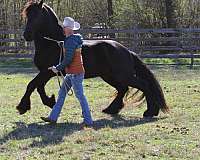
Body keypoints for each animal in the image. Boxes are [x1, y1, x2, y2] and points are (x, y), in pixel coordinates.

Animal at [16, 0, 169, 117]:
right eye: (27, 16)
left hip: (123, 75)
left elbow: (31, 85)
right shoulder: (47, 72)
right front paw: (49, 101)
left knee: (143, 85)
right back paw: (111, 109)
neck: (54, 43)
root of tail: (126, 51)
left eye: (37, 16)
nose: (26, 35)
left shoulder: (47, 71)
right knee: (123, 89)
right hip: (109, 76)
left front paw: (22, 107)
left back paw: (150, 112)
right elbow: (38, 87)